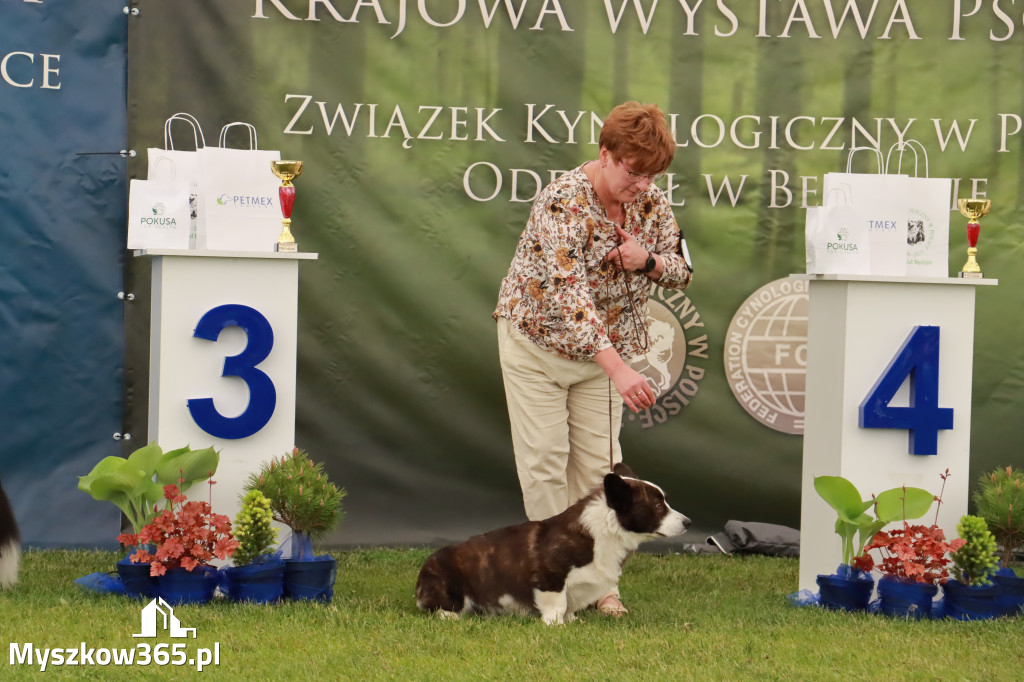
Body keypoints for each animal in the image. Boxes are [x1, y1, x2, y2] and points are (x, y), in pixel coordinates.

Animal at [413, 462, 688, 622]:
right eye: (658, 506)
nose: (688, 522)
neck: (605, 531)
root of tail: (422, 573)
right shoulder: (549, 579)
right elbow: (557, 604)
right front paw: (556, 625)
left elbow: (570, 606)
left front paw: (572, 620)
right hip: (451, 592)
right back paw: (449, 616)